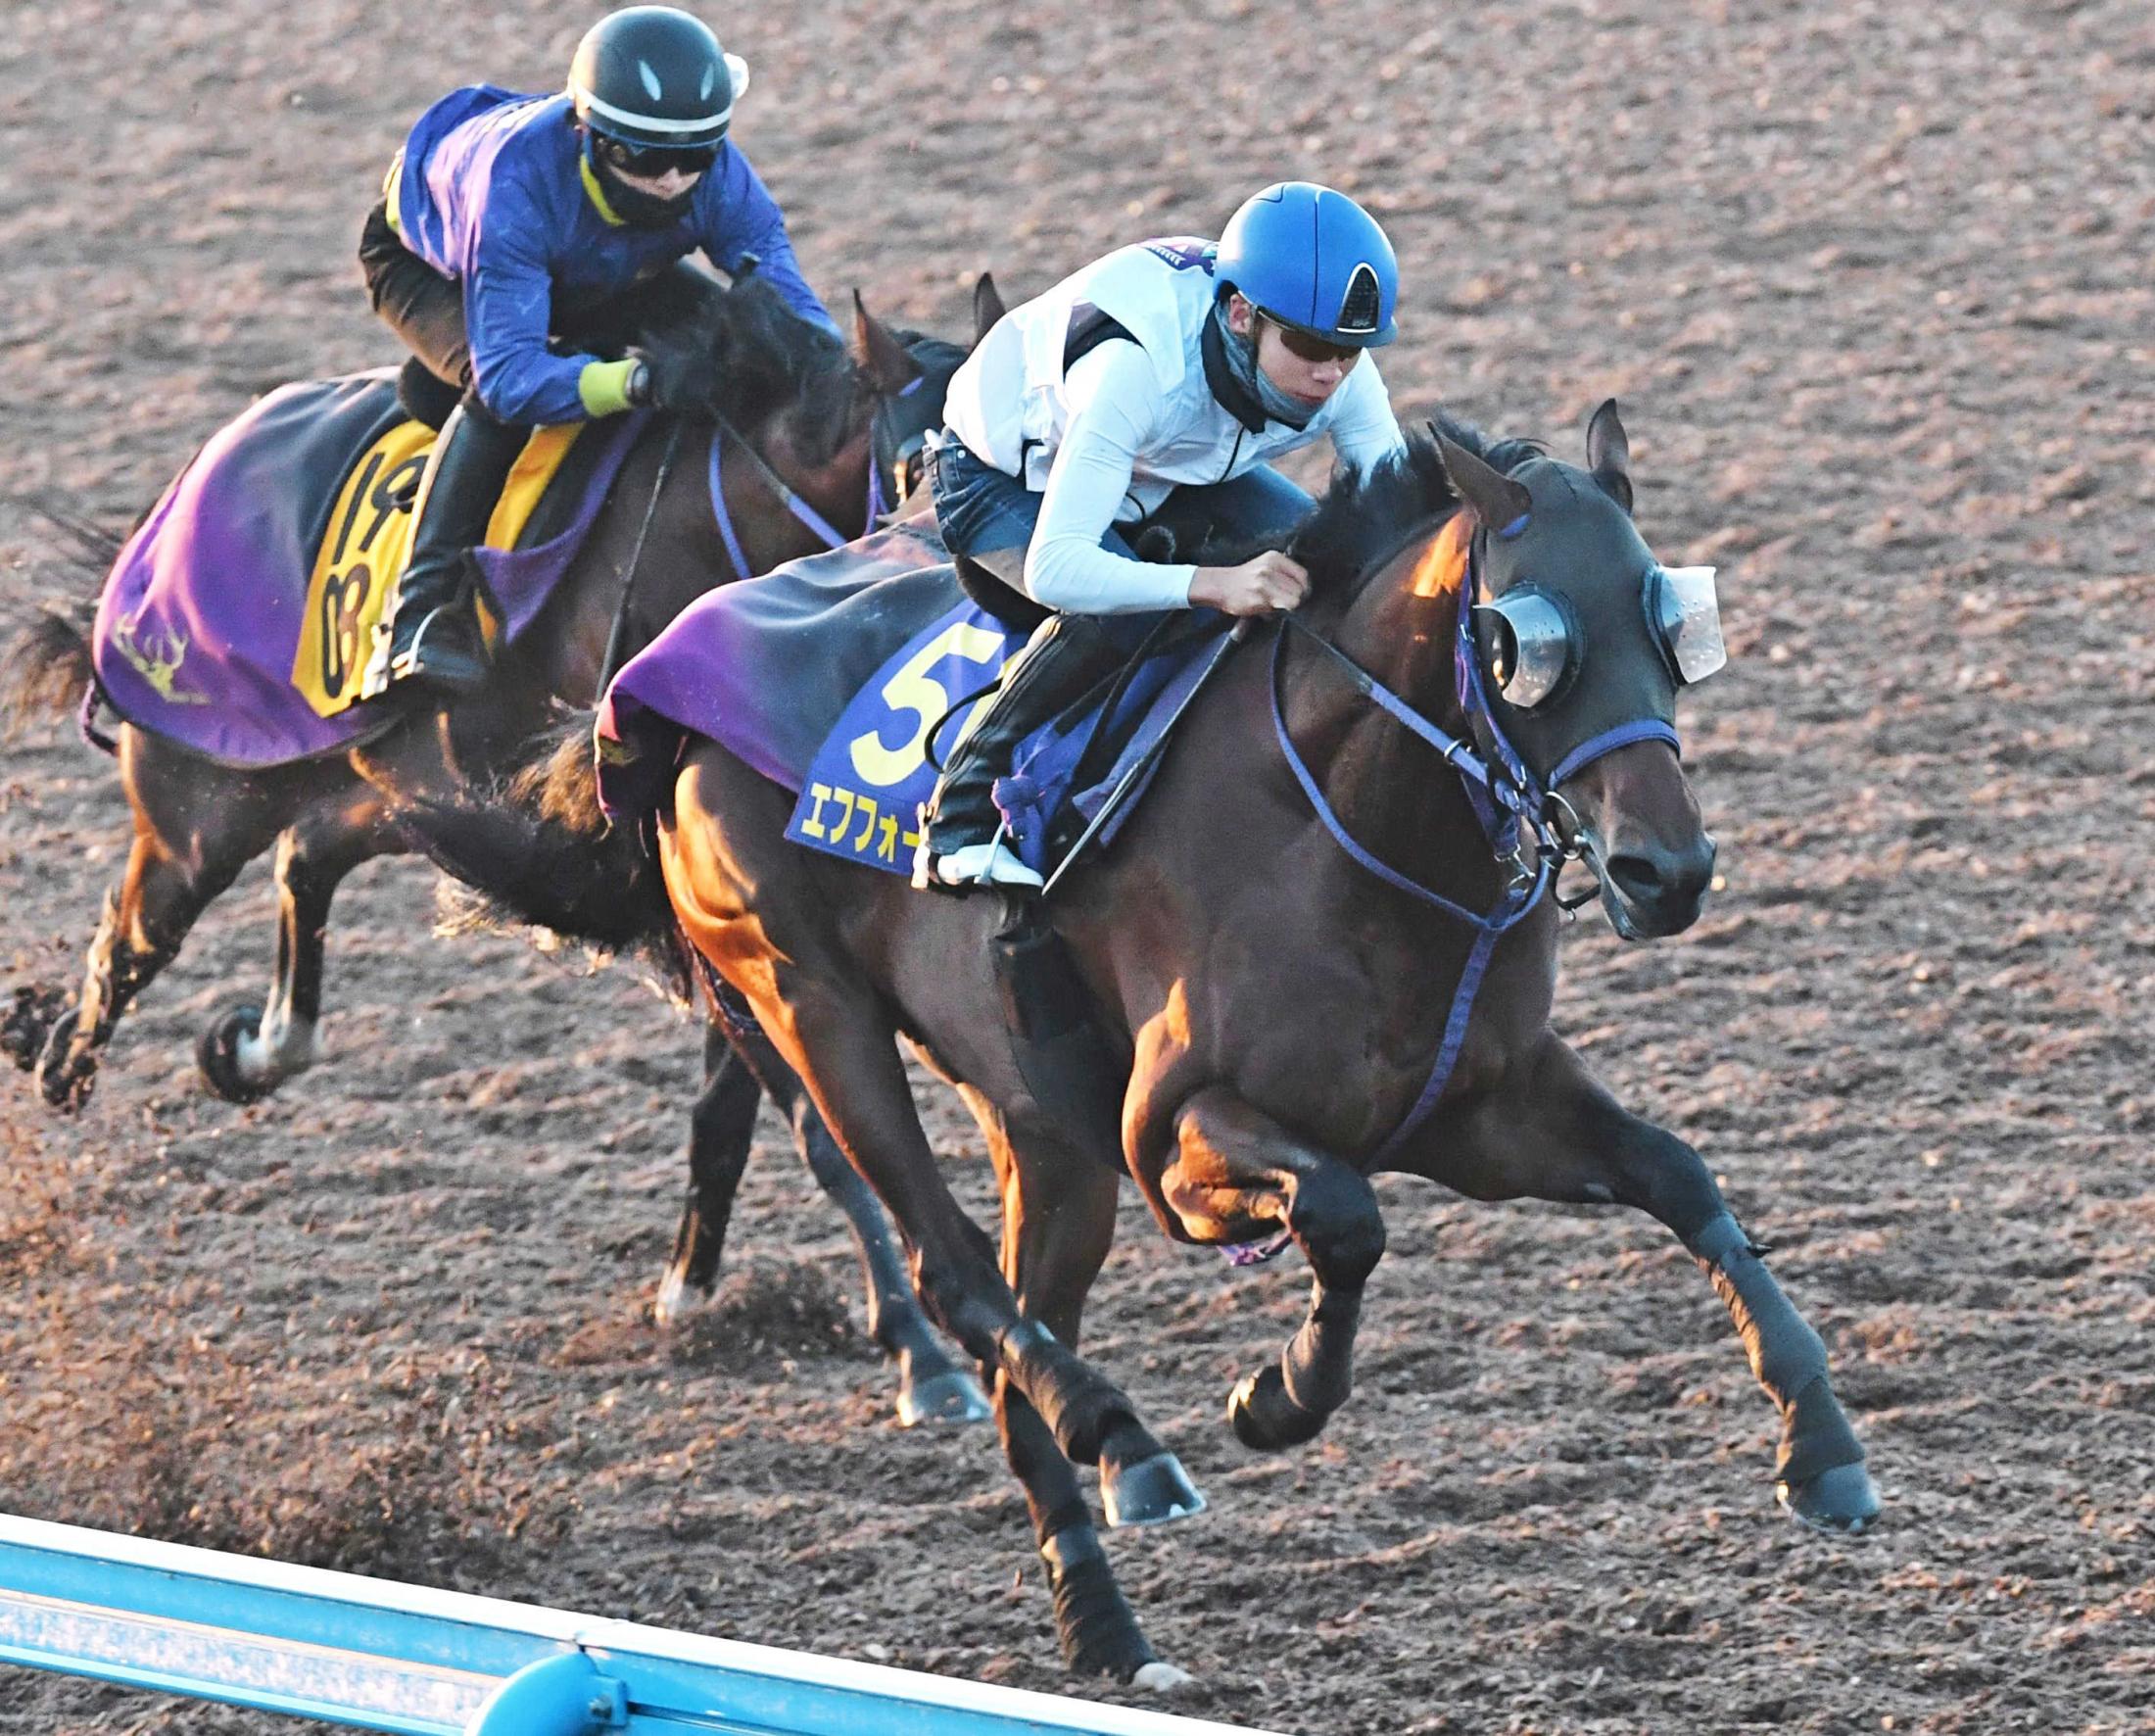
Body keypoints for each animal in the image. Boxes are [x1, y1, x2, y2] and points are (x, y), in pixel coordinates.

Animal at [0, 270, 1004, 1431]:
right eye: (925, 469)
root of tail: (177, 501)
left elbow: (739, 1105)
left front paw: (693, 1284)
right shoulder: (686, 901)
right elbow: (817, 1125)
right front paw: (921, 1352)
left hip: (400, 790)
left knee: (307, 853)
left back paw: (258, 1046)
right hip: (199, 811)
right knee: (127, 946)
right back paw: (56, 1061)